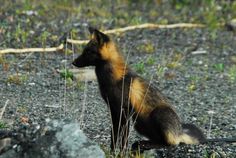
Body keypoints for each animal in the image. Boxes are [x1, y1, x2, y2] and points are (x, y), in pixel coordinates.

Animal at [72, 27, 234, 151]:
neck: (113, 79)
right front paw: (113, 151)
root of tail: (179, 131)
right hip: (140, 124)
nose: (73, 62)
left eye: (88, 51)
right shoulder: (114, 110)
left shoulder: (124, 111)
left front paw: (119, 152)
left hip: (157, 114)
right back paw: (144, 143)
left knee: (172, 144)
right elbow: (114, 136)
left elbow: (122, 138)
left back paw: (147, 145)